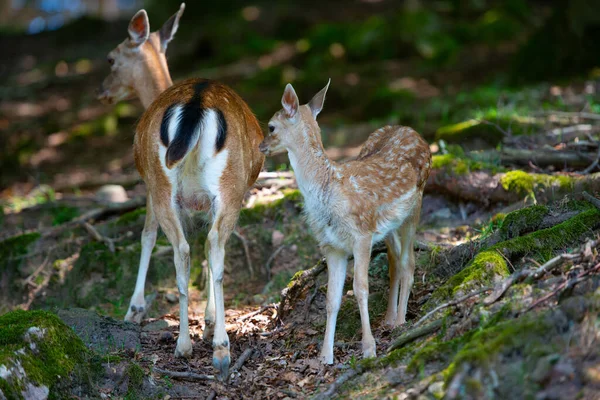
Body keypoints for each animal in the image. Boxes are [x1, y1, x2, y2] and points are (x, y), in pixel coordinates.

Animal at [258, 80, 432, 362]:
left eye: (271, 126)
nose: (260, 146)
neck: (330, 192)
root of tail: (414, 132)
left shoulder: (361, 234)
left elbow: (360, 288)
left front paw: (369, 348)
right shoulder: (331, 245)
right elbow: (332, 299)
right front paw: (325, 355)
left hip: (415, 207)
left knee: (409, 263)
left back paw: (401, 321)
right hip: (388, 226)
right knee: (395, 262)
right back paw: (389, 318)